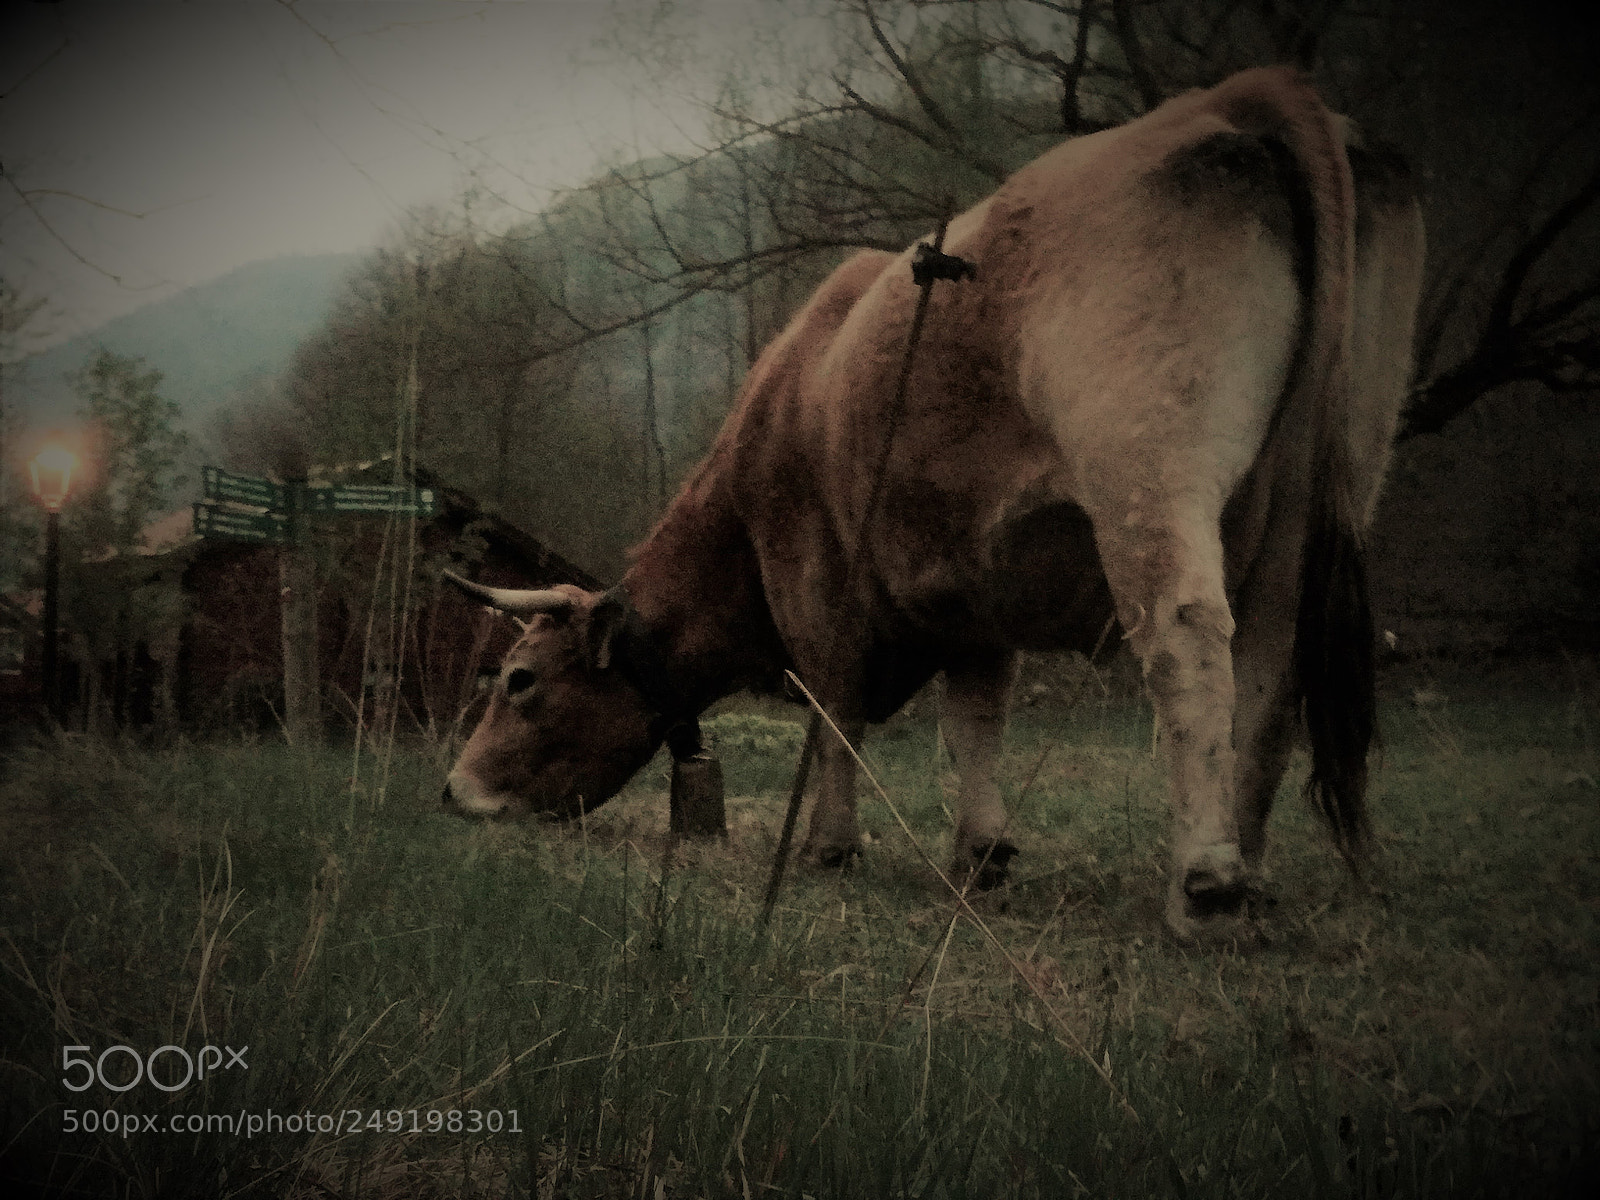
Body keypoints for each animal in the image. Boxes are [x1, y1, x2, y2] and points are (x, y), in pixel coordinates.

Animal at [441, 66, 1425, 939]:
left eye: (519, 679)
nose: (451, 791)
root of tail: (1242, 94)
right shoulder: (974, 591)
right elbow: (973, 721)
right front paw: (980, 853)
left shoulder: (814, 579)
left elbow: (833, 711)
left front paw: (830, 847)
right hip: (1320, 487)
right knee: (1272, 667)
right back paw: (1249, 867)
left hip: (1149, 467)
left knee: (1188, 637)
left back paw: (1205, 888)